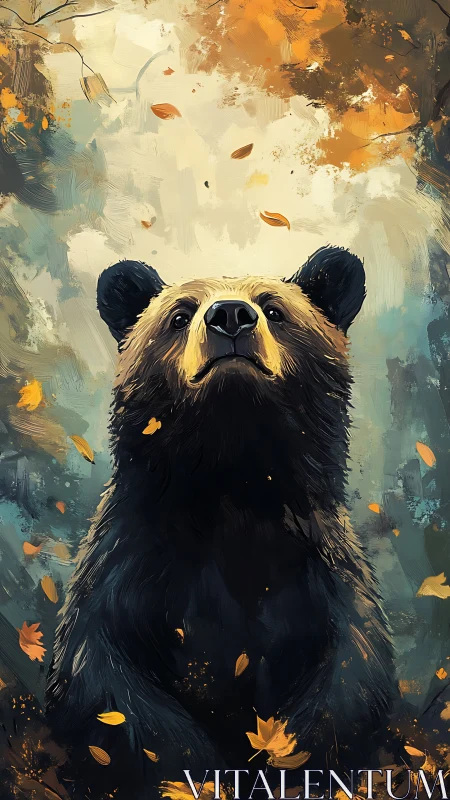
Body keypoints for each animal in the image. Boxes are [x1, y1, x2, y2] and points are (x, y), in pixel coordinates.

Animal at [46, 246, 398, 800]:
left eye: (275, 308)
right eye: (179, 314)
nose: (230, 315)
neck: (232, 486)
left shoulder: (319, 571)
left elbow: (351, 676)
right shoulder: (134, 563)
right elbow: (106, 683)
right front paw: (192, 771)